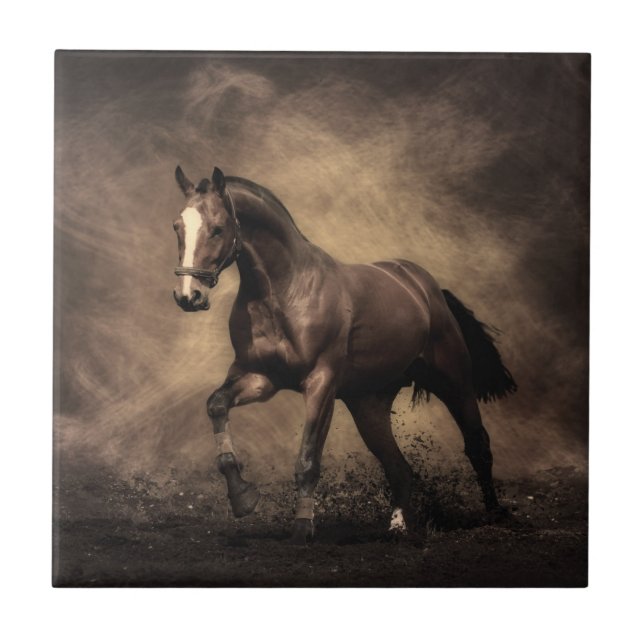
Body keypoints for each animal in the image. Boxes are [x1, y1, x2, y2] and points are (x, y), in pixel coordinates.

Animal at [171, 165, 517, 544]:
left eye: (218, 228)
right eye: (177, 226)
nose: (188, 296)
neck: (285, 291)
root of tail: (426, 289)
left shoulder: (321, 384)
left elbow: (308, 459)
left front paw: (302, 528)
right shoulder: (260, 378)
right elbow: (217, 406)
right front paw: (243, 498)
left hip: (454, 382)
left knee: (477, 445)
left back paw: (495, 514)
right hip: (369, 405)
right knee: (399, 468)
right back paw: (398, 526)